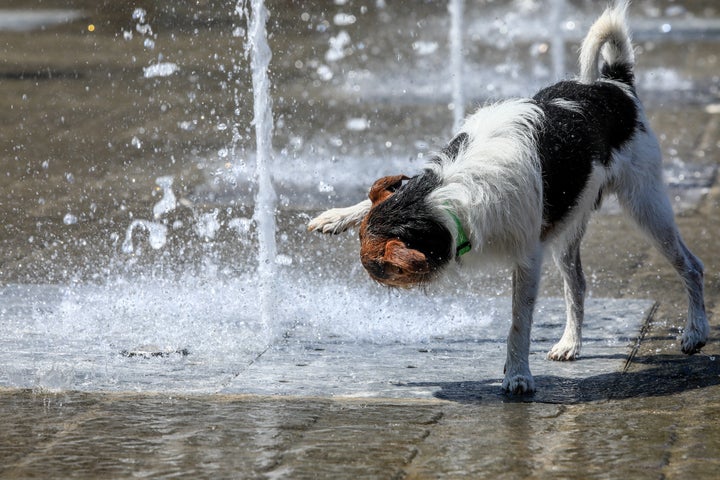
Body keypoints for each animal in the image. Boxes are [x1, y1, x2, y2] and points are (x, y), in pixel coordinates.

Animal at [308, 2, 708, 394]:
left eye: (378, 268)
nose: (371, 282)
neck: (447, 196)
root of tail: (614, 84)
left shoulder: (528, 258)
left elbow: (519, 323)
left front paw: (517, 375)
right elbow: (375, 197)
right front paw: (337, 216)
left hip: (646, 204)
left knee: (691, 266)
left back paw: (695, 332)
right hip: (570, 221)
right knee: (577, 284)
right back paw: (571, 343)